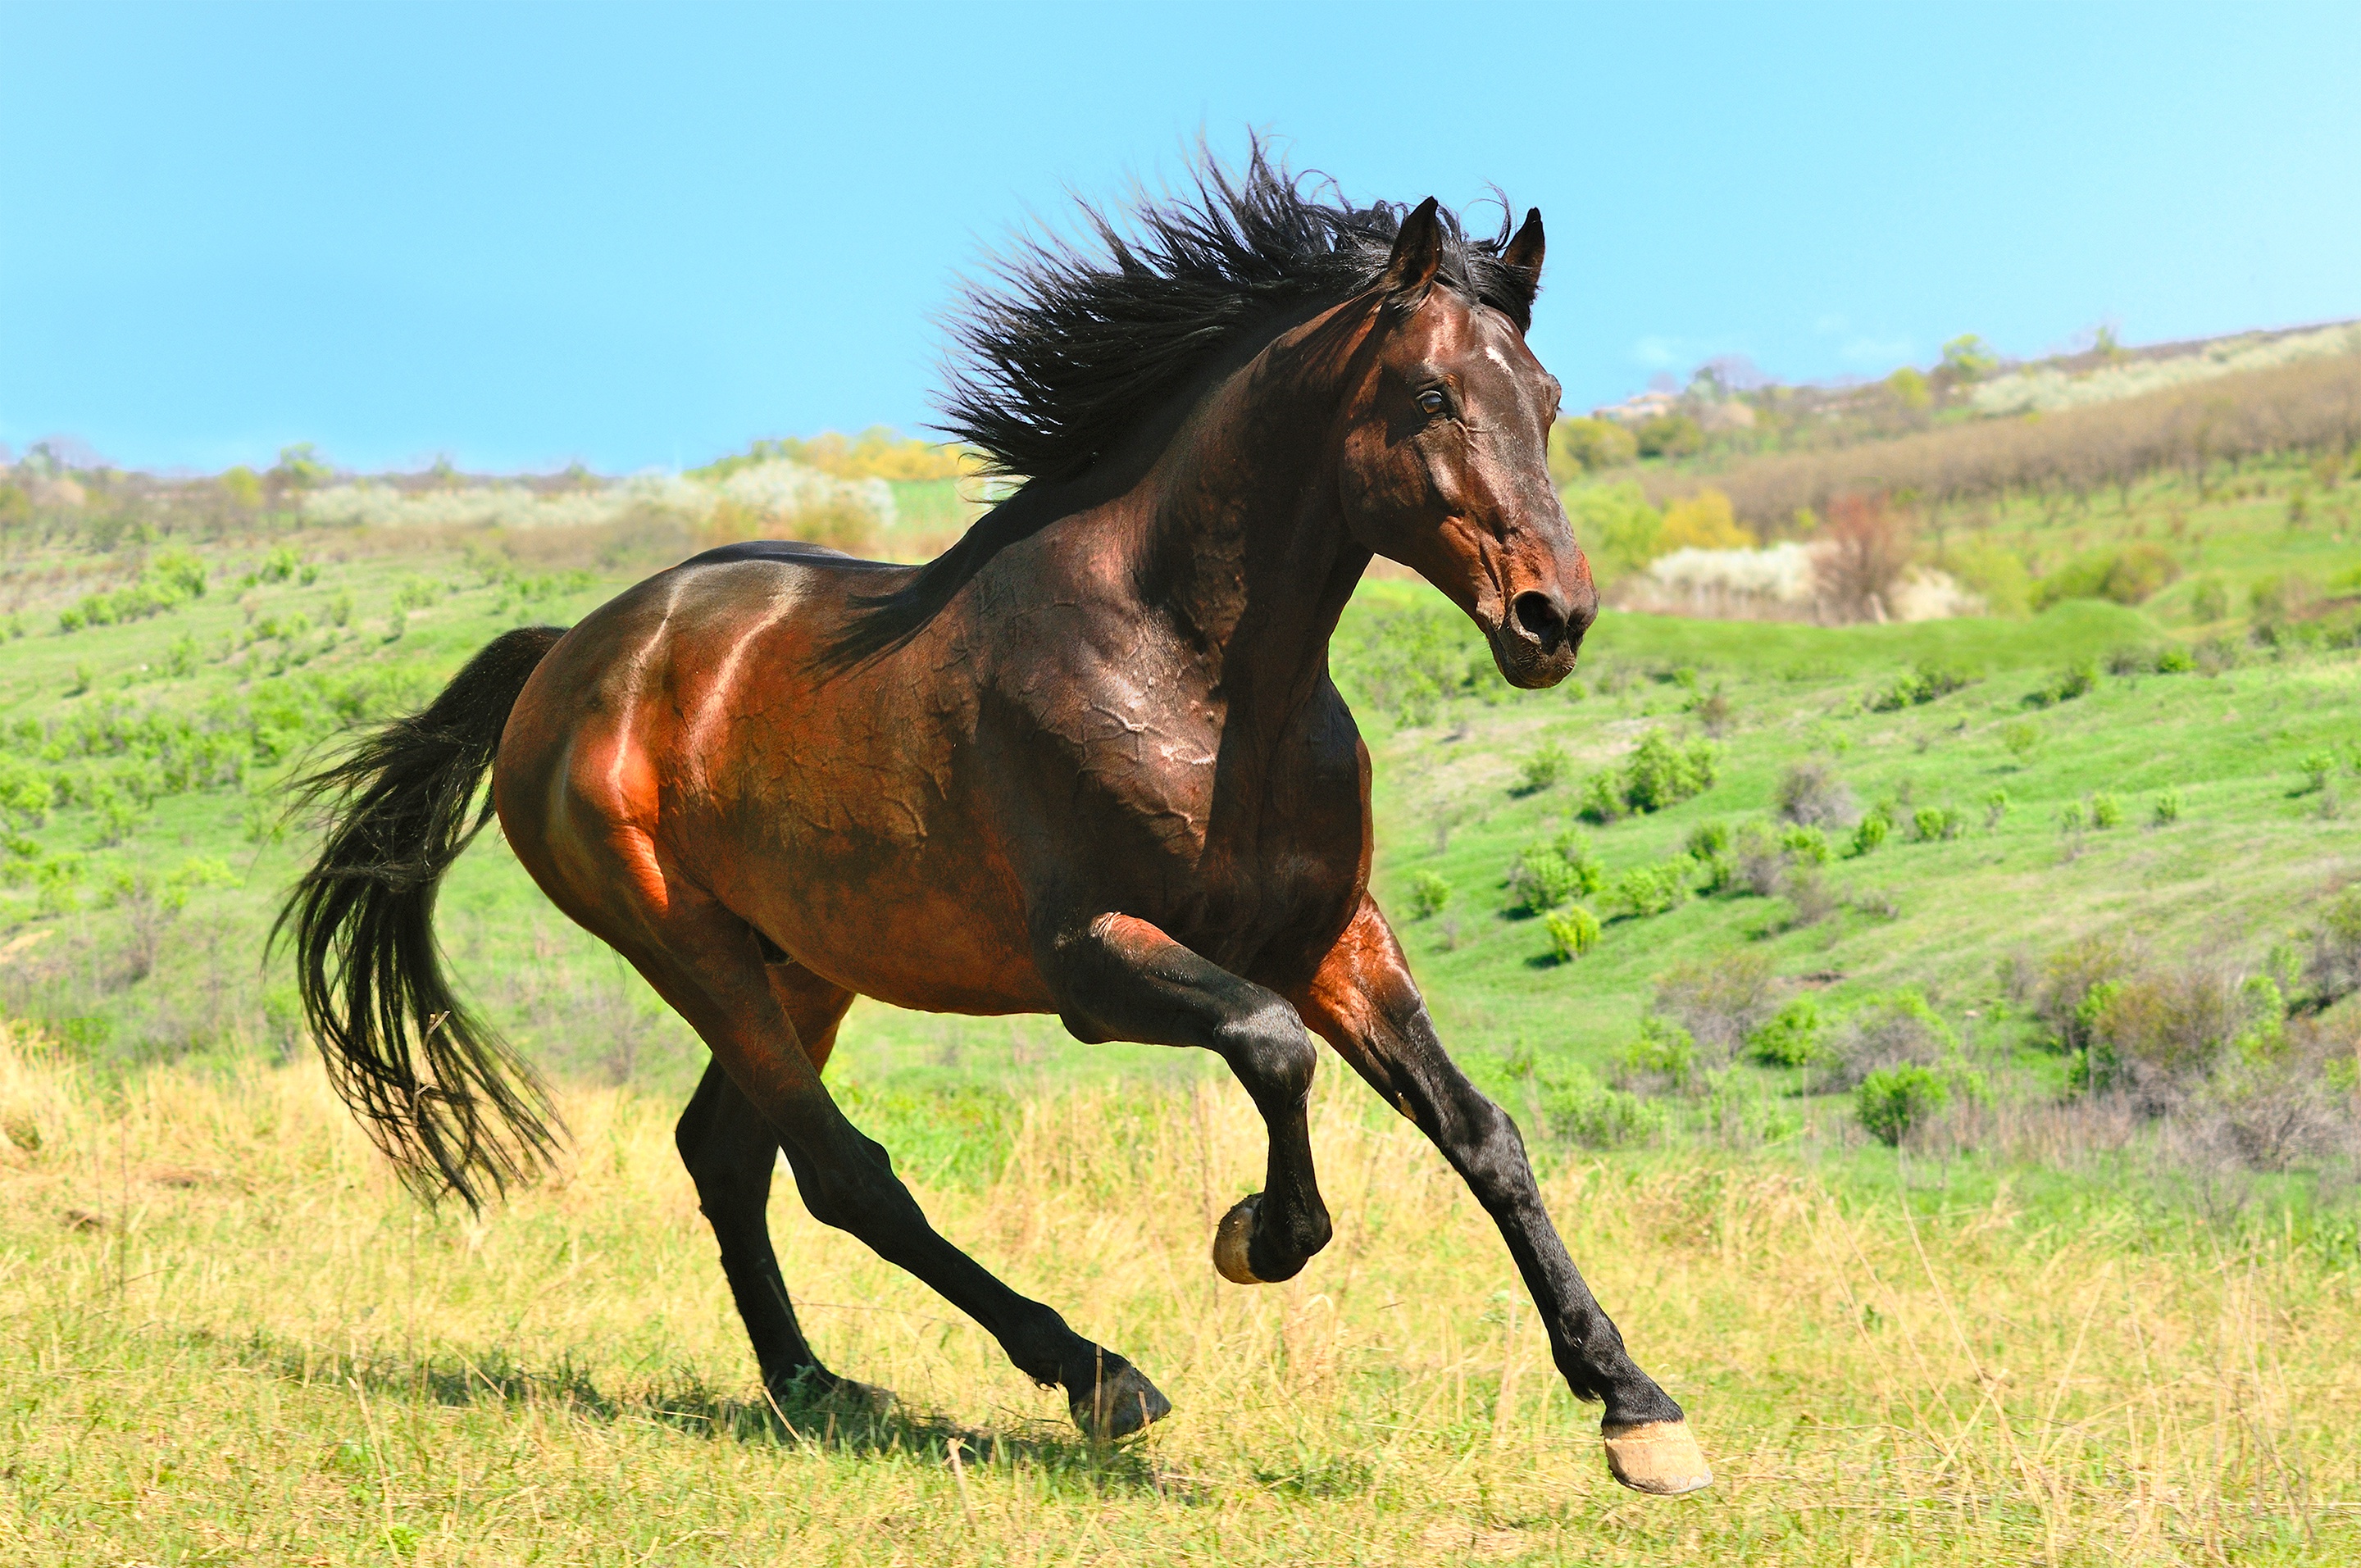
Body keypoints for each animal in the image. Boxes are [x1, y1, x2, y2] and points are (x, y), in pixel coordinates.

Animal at [275, 156, 1718, 1492]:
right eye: (1428, 397)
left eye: (1547, 402)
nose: (1552, 618)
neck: (1196, 673)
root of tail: (570, 655)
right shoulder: (1093, 959)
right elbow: (1272, 1050)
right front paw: (1253, 1236)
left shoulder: (1331, 937)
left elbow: (1482, 1132)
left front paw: (1636, 1409)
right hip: (686, 944)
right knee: (842, 1170)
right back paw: (1093, 1374)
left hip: (803, 959)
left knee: (730, 1156)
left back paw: (813, 1382)